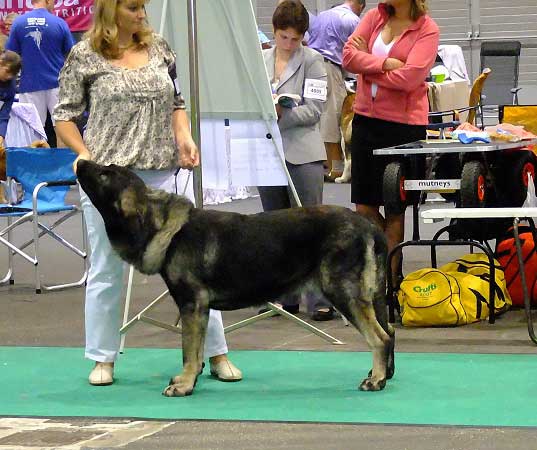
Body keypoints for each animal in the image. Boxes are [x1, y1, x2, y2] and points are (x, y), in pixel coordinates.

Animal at [76, 160, 394, 396]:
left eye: (104, 174)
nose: (80, 160)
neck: (163, 226)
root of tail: (366, 225)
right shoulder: (199, 311)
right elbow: (196, 352)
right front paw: (191, 379)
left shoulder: (192, 307)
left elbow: (188, 351)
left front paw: (184, 384)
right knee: (388, 331)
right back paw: (384, 374)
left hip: (343, 293)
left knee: (379, 337)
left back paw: (375, 380)